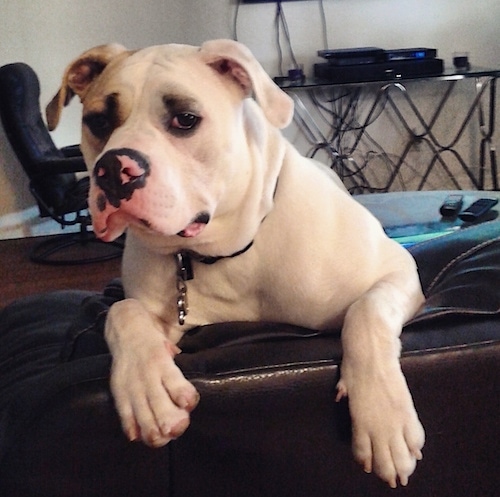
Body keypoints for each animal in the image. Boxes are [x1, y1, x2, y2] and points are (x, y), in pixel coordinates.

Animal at [47, 37, 424, 484]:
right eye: (98, 121)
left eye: (185, 119)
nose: (112, 169)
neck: (223, 252)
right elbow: (121, 312)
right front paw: (146, 386)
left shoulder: (397, 271)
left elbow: (366, 312)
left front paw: (383, 416)